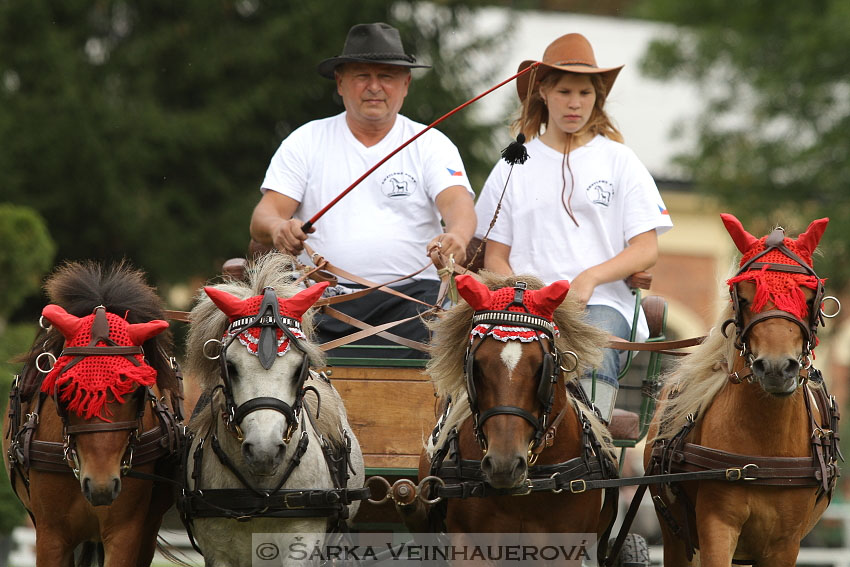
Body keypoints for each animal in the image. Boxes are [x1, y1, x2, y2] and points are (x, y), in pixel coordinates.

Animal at [179, 254, 364, 567]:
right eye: (230, 366)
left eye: (299, 368)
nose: (264, 450)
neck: (262, 493)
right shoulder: (218, 551)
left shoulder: (303, 544)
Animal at [644, 213, 840, 567]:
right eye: (745, 297)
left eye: (808, 299)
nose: (777, 367)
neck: (764, 452)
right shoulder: (717, 526)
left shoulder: (785, 543)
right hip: (675, 534)